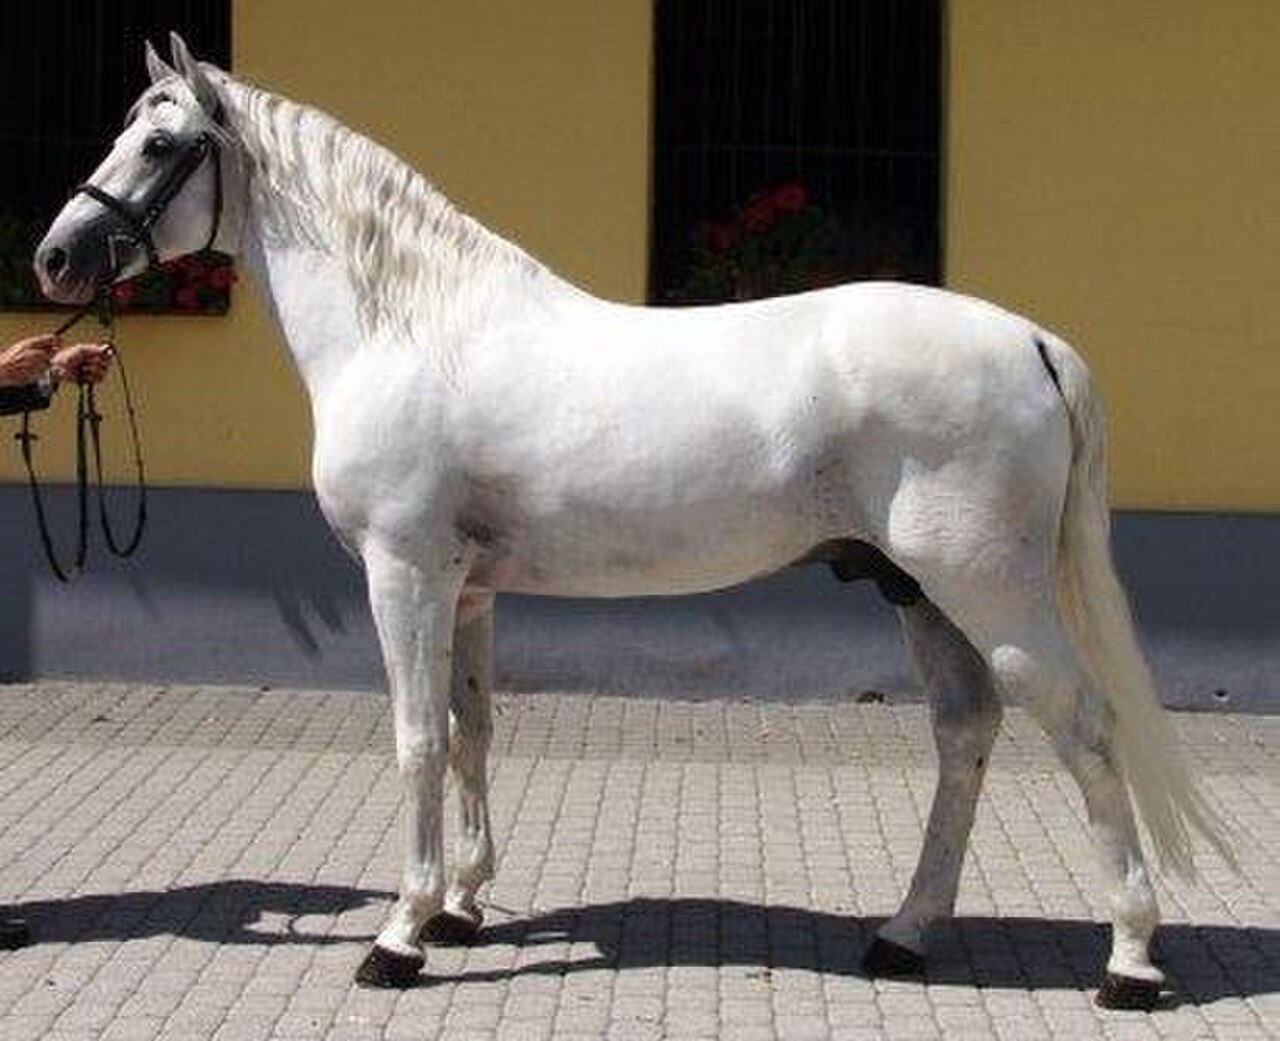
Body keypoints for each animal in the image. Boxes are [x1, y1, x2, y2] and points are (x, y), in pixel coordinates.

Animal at [35, 34, 1233, 1009]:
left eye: (160, 144)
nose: (54, 260)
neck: (409, 325)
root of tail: (1029, 338)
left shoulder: (403, 572)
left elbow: (418, 739)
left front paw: (401, 935)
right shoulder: (467, 588)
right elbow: (473, 732)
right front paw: (463, 906)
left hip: (992, 592)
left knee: (1083, 728)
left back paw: (1128, 961)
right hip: (919, 592)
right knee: (963, 735)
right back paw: (901, 934)